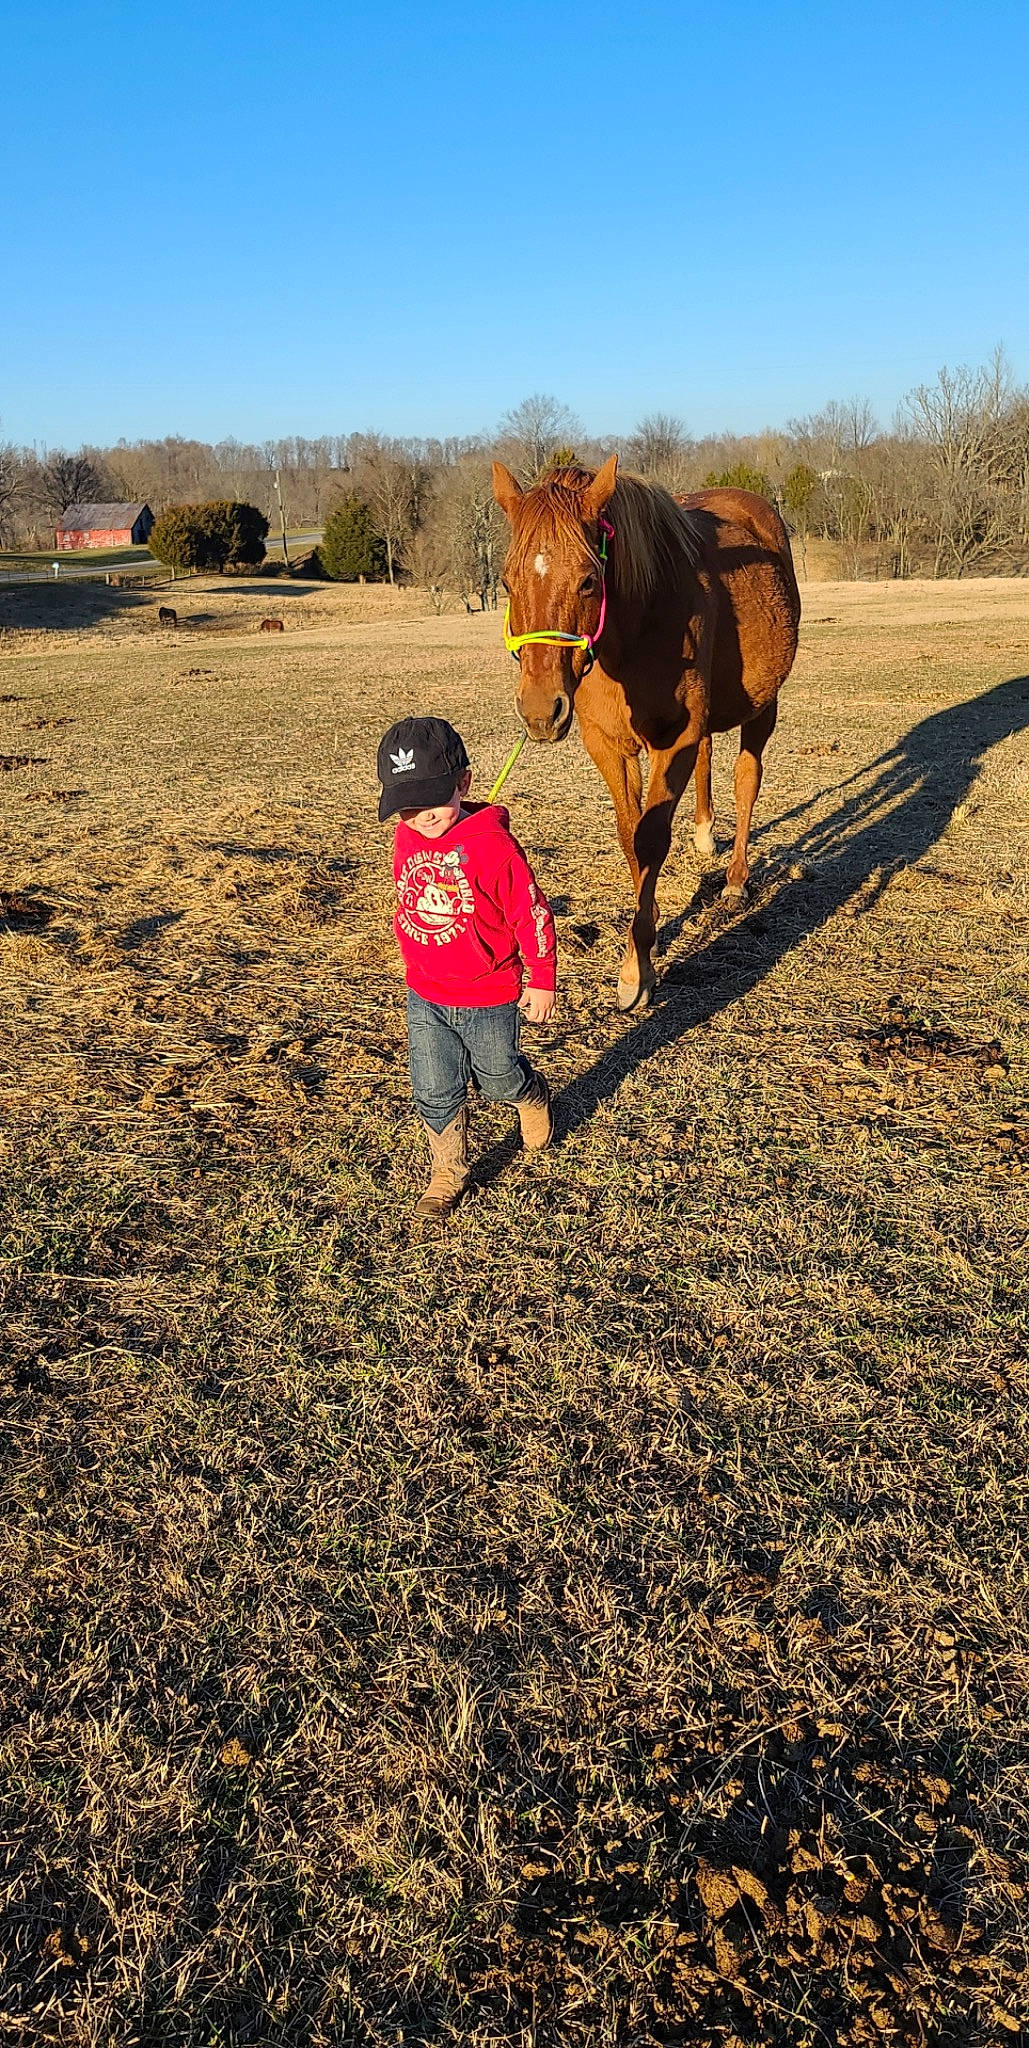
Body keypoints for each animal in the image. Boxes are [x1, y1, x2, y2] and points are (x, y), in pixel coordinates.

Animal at [493, 455, 800, 1008]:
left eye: (588, 580)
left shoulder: (673, 741)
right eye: (507, 583)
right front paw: (650, 920)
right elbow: (629, 835)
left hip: (762, 709)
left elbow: (651, 838)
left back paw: (735, 881)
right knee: (709, 760)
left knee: (747, 780)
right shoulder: (609, 745)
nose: (541, 712)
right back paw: (704, 833)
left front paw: (637, 969)